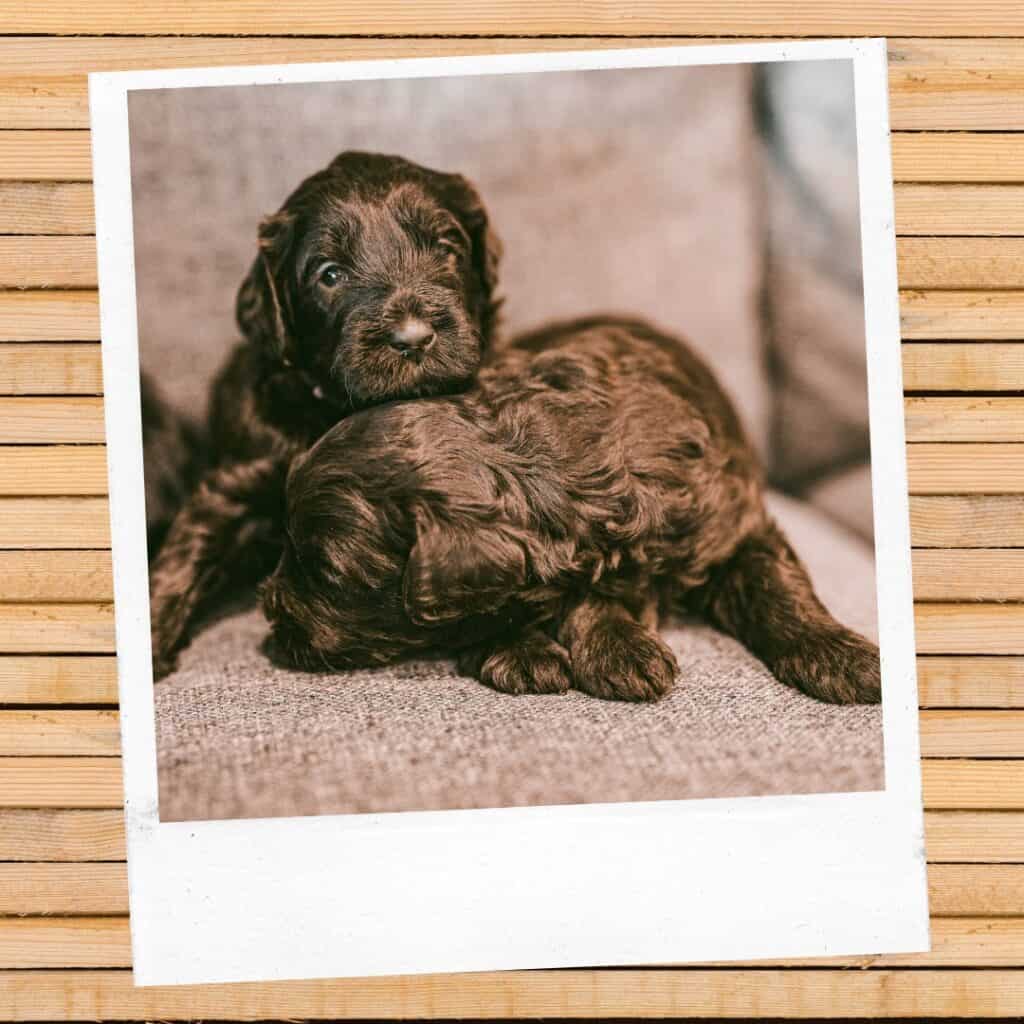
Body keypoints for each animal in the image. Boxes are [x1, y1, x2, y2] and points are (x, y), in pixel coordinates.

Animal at [262, 317, 880, 704]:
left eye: (326, 573)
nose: (268, 609)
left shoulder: (737, 524)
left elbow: (780, 589)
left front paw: (841, 656)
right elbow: (577, 597)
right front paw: (608, 648)